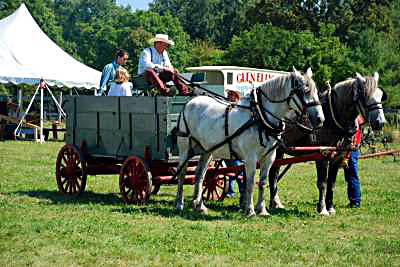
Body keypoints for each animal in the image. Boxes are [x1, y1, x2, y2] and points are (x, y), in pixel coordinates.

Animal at [175, 68, 324, 217]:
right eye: (306, 91)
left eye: (316, 90)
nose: (320, 119)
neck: (260, 116)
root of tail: (190, 102)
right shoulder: (250, 157)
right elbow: (250, 183)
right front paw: (250, 210)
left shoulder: (269, 157)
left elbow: (262, 182)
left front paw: (262, 210)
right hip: (185, 148)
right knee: (181, 174)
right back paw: (179, 204)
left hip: (207, 151)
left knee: (200, 175)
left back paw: (199, 205)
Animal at [270, 72, 386, 217]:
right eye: (365, 95)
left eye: (380, 95)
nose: (380, 122)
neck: (332, 117)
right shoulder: (323, 155)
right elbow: (323, 183)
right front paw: (322, 209)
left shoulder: (338, 157)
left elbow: (332, 183)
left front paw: (330, 207)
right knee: (272, 174)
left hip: (279, 151)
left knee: (273, 173)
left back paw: (275, 203)